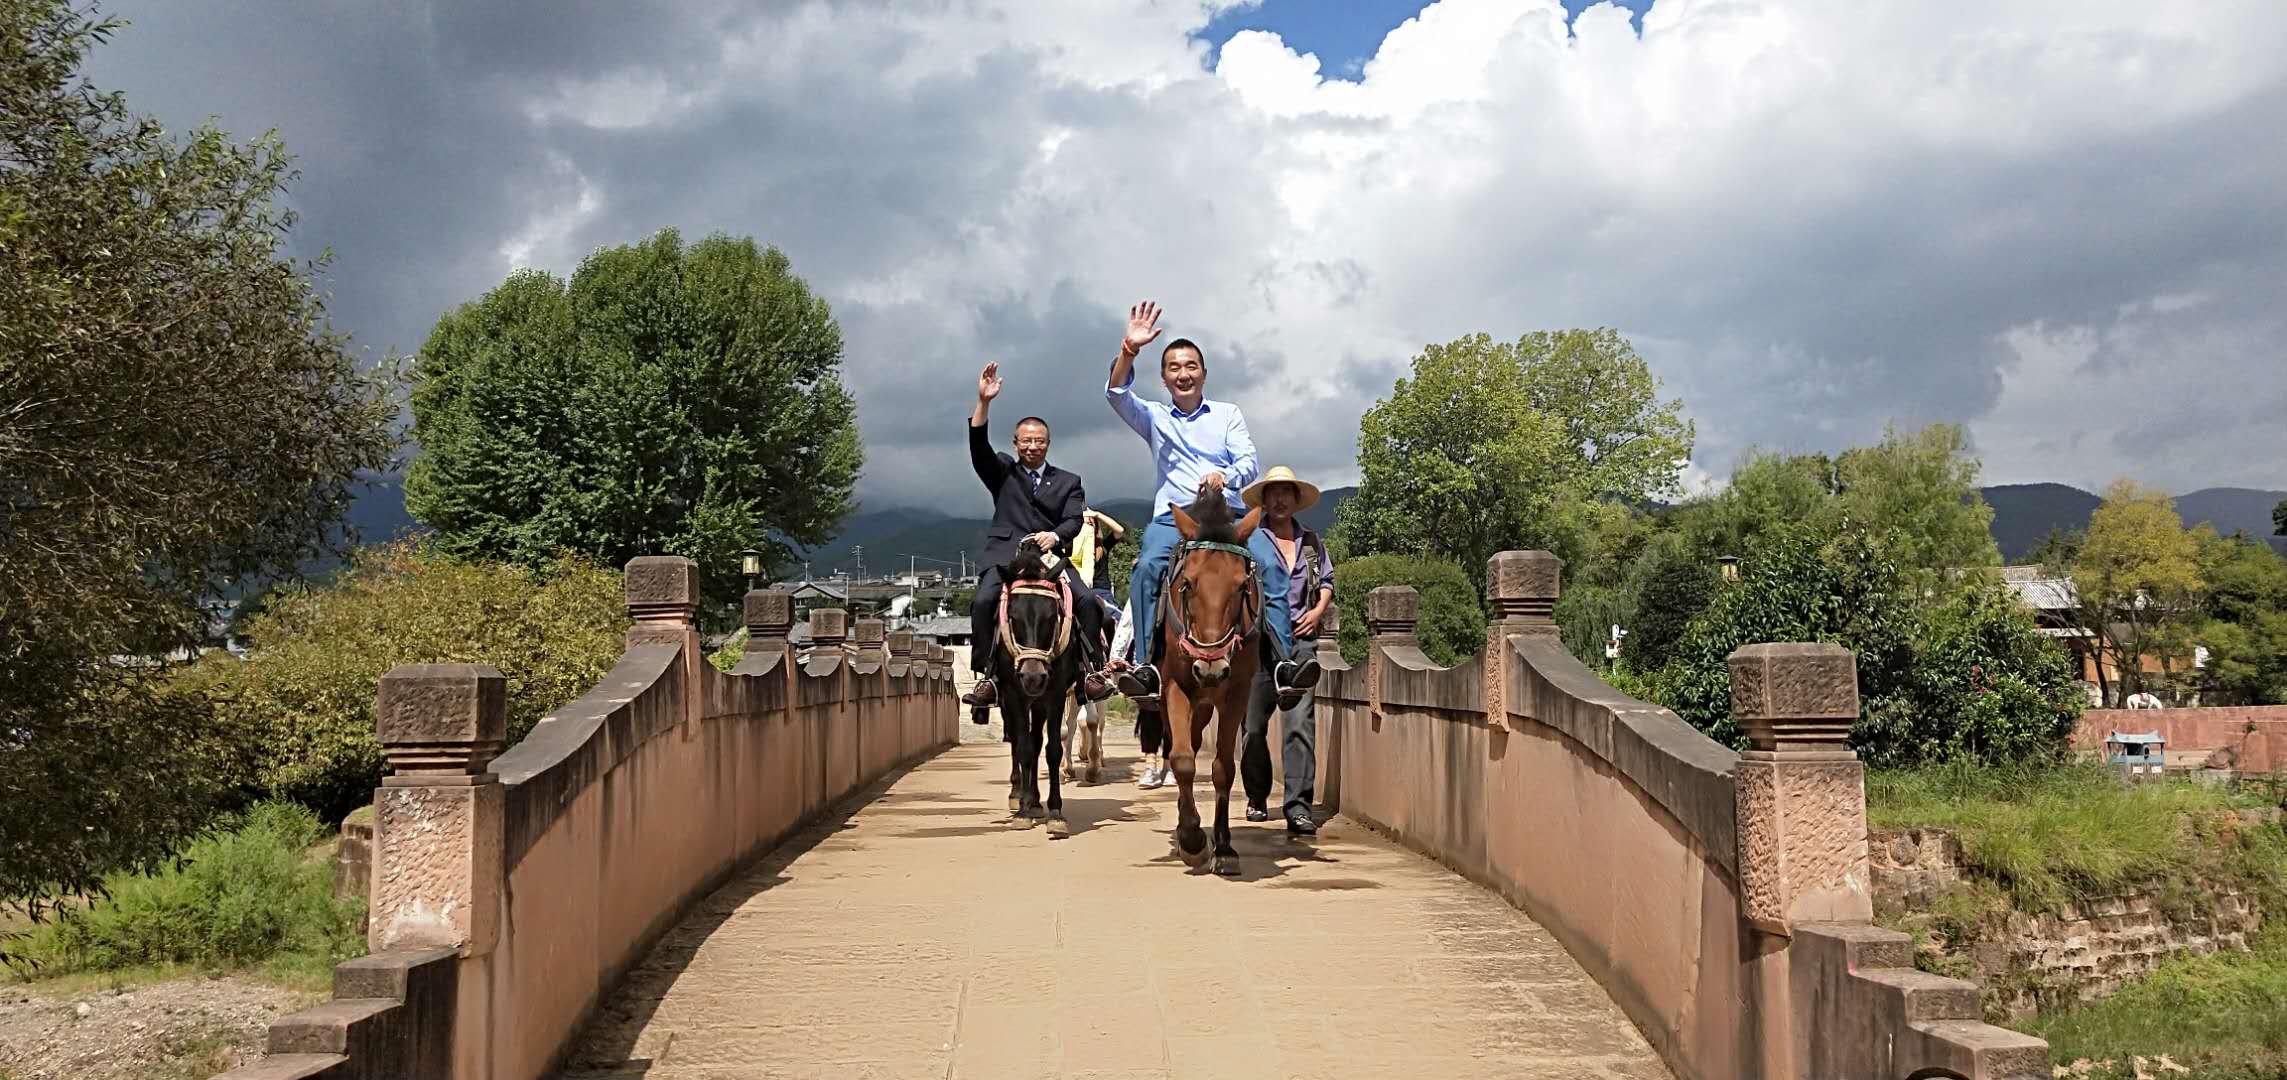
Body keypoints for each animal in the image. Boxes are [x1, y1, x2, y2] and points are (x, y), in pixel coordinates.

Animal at [1161, 494, 1271, 874]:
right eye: (1188, 584)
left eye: (1241, 586)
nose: (1210, 667)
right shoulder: (1175, 686)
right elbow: (1181, 759)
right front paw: (1192, 838)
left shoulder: (1236, 691)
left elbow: (1223, 767)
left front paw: (1223, 847)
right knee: (1181, 747)